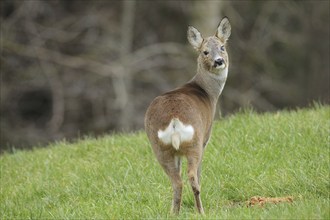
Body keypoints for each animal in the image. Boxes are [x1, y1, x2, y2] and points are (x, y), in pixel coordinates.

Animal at [144, 17, 232, 215]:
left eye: (222, 47)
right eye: (205, 51)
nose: (219, 61)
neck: (207, 92)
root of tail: (174, 120)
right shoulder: (206, 138)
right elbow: (199, 173)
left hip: (161, 148)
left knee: (177, 182)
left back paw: (173, 213)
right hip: (194, 143)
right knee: (192, 177)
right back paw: (201, 211)